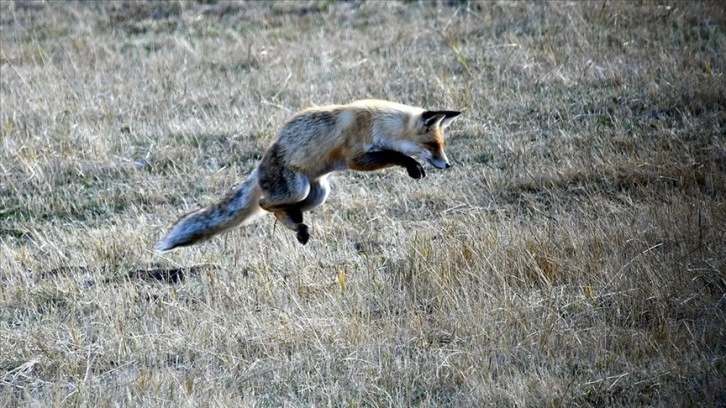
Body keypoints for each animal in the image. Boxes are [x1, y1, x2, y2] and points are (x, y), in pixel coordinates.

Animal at [156, 99, 460, 252]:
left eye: (442, 144)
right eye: (433, 145)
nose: (447, 165)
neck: (378, 122)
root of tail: (259, 166)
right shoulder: (356, 158)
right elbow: (395, 155)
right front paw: (412, 166)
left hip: (318, 194)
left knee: (286, 208)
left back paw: (297, 225)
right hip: (297, 189)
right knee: (265, 203)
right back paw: (294, 223)